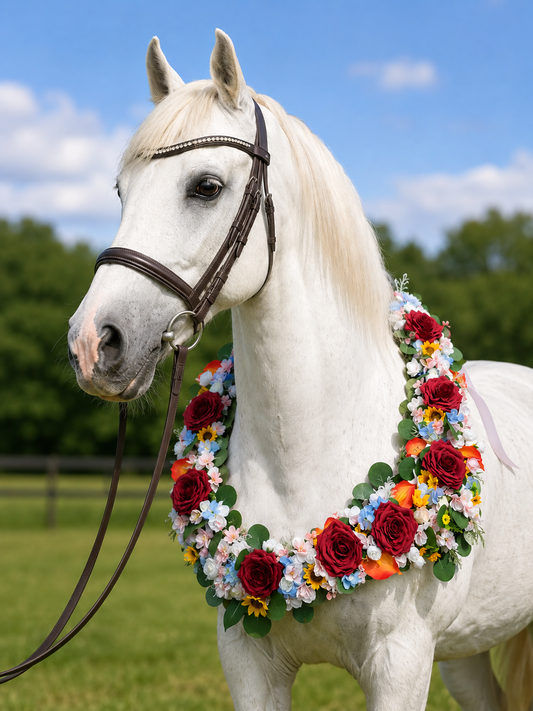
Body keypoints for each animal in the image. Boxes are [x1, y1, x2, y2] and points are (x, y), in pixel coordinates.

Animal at [67, 29, 533, 711]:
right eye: (122, 191)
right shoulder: (250, 664)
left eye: (205, 186)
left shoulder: (399, 666)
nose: (93, 344)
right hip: (467, 654)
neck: (309, 446)